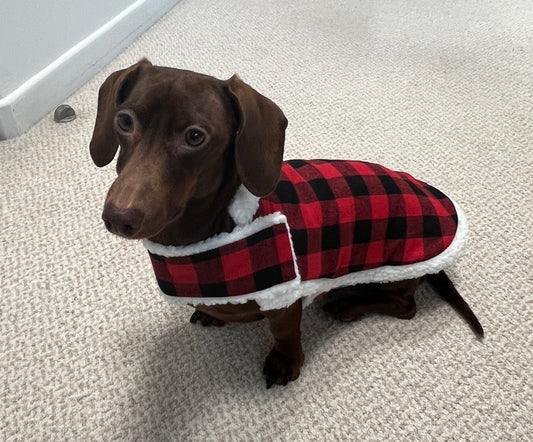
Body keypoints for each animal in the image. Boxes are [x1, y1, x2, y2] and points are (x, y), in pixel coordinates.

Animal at [90, 58, 482, 386]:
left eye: (195, 136)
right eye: (124, 121)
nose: (118, 217)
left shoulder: (283, 301)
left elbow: (285, 334)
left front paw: (285, 363)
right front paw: (213, 314)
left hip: (397, 271)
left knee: (404, 306)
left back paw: (349, 305)